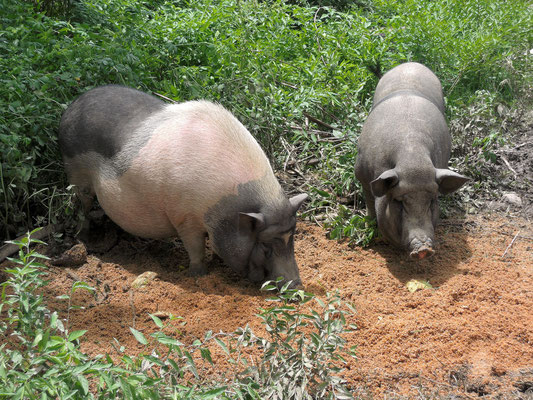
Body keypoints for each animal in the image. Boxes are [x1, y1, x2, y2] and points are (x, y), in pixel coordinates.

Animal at [58, 85, 308, 284]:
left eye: (292, 239)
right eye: (266, 247)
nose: (296, 285)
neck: (225, 208)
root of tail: (72, 106)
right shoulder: (185, 218)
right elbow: (195, 247)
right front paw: (199, 275)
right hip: (74, 170)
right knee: (82, 204)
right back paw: (84, 239)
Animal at [356, 61, 468, 258]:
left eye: (432, 200)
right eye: (399, 201)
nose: (423, 248)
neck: (412, 155)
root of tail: (411, 63)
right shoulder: (361, 172)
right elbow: (369, 200)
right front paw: (368, 223)